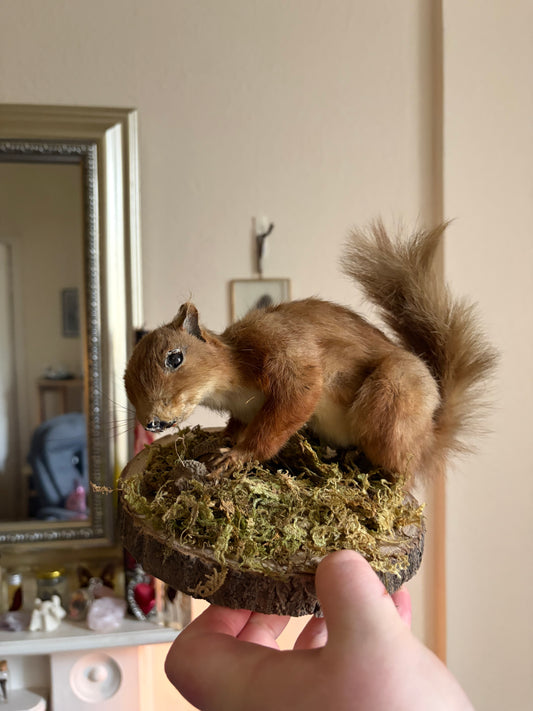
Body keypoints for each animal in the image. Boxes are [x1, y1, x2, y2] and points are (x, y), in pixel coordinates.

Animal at [124, 221, 497, 483]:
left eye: (175, 358)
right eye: (125, 382)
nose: (152, 421)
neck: (230, 385)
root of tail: (430, 436)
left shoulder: (281, 347)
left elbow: (296, 397)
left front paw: (237, 455)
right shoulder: (243, 408)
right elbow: (236, 424)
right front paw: (220, 440)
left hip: (392, 401)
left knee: (403, 469)